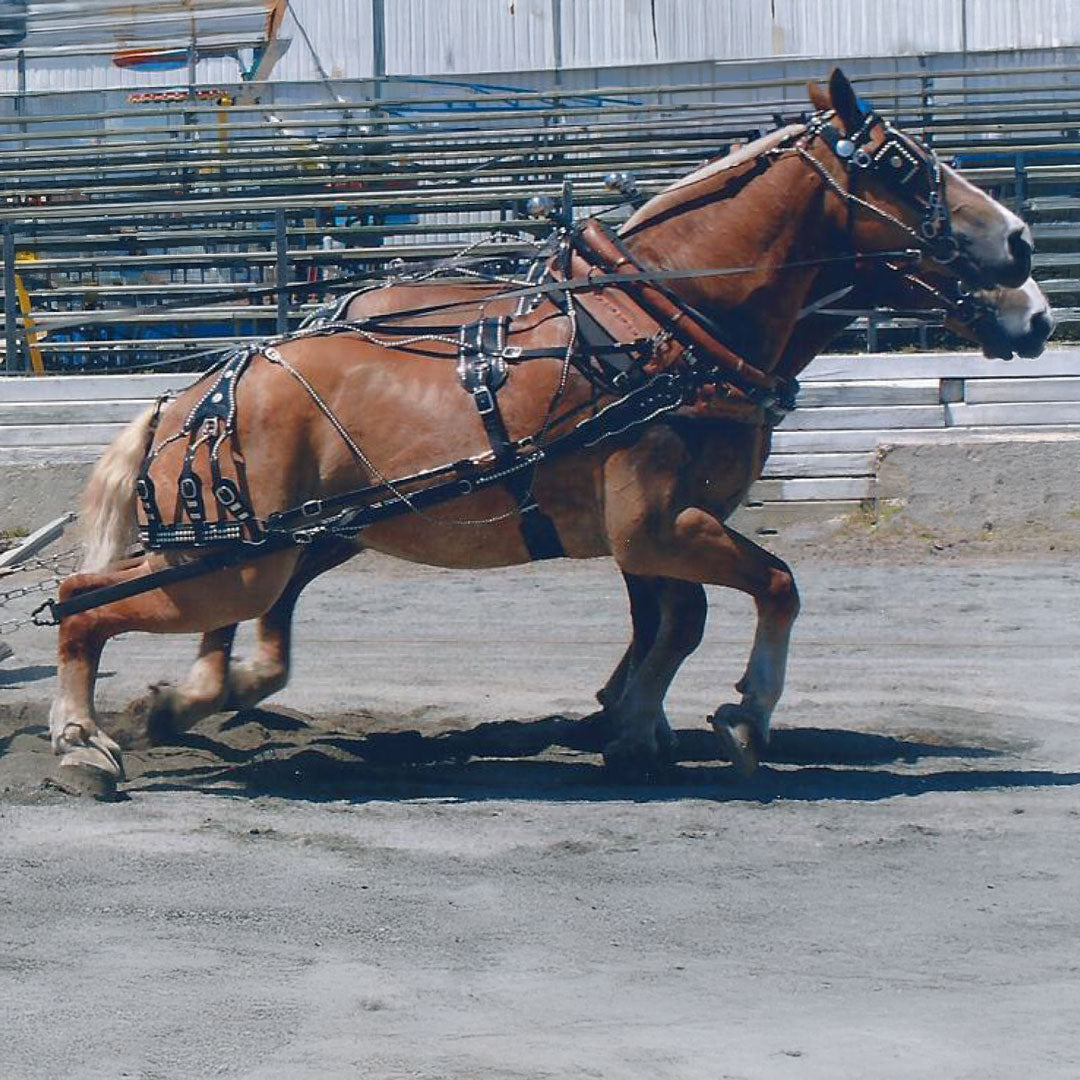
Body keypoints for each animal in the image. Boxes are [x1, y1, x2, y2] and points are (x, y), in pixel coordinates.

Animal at [52, 69, 1045, 794]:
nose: (1026, 258)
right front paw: (740, 715)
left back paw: (178, 705)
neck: (666, 321)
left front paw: (632, 723)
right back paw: (83, 742)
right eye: (905, 166)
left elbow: (675, 620)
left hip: (282, 545)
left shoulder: (649, 529)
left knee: (194, 616)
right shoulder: (654, 523)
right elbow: (771, 585)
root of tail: (192, 395)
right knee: (79, 604)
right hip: (235, 561)